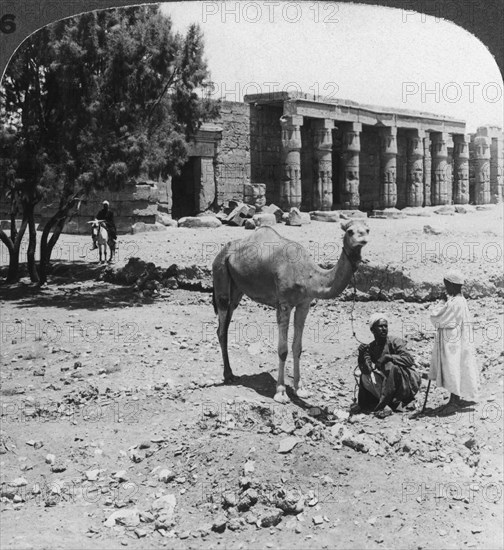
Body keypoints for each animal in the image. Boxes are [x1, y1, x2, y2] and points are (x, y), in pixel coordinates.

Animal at [211, 220, 368, 406]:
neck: (308, 277)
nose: (362, 240)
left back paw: (229, 373)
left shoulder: (304, 304)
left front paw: (300, 389)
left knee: (225, 323)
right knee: (222, 326)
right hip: (220, 273)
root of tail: (224, 250)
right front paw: (280, 392)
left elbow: (297, 347)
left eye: (367, 230)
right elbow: (283, 350)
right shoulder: (284, 304)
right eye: (350, 231)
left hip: (237, 288)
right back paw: (228, 375)